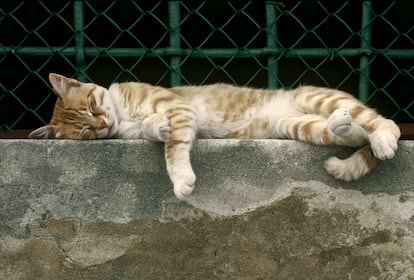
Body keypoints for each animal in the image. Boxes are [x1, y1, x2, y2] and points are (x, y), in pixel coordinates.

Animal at [29, 72, 402, 199]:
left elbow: (174, 149)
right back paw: (344, 127)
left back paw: (384, 139)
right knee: (353, 134)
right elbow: (155, 132)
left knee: (383, 123)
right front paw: (156, 127)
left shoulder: (179, 108)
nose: (103, 124)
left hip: (317, 97)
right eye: (85, 130)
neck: (122, 112)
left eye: (92, 106)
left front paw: (182, 180)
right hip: (299, 126)